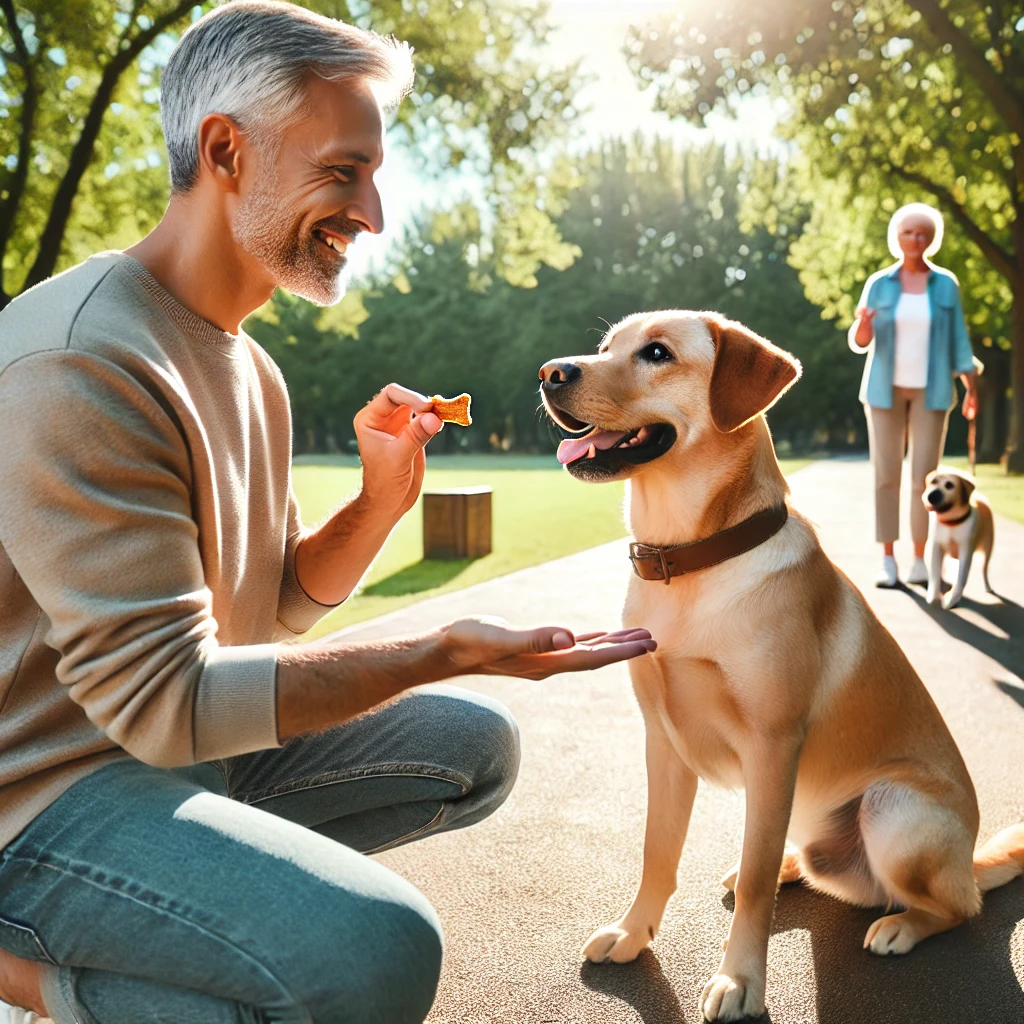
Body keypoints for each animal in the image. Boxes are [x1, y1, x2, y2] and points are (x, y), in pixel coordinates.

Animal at [921, 468, 991, 610]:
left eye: (949, 485)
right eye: (932, 482)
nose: (932, 495)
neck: (951, 523)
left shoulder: (966, 549)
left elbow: (961, 578)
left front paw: (951, 599)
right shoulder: (936, 546)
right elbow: (935, 574)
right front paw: (932, 595)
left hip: (988, 546)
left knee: (984, 568)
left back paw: (987, 586)